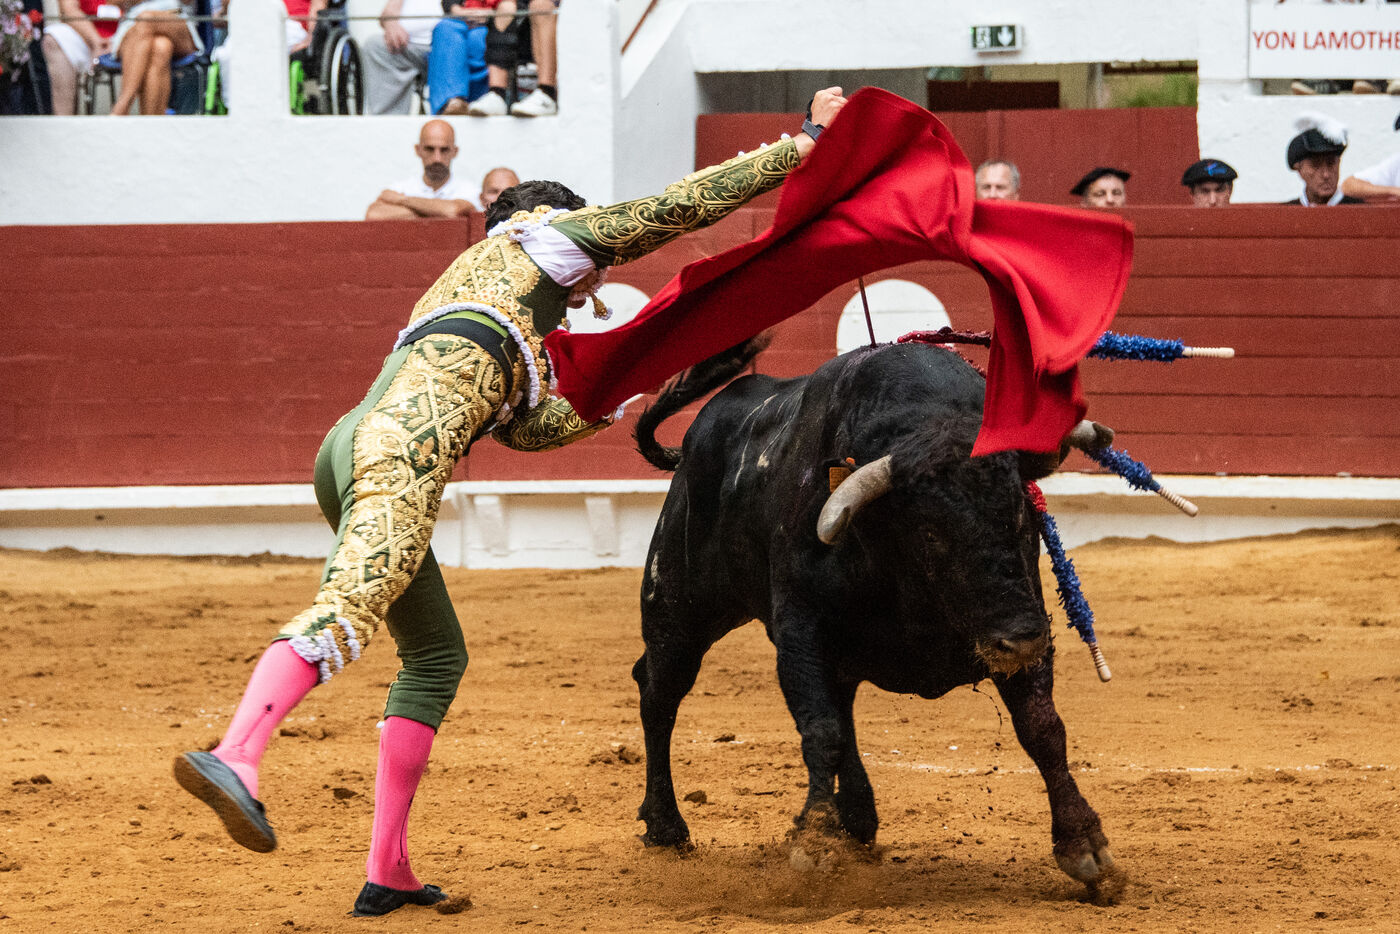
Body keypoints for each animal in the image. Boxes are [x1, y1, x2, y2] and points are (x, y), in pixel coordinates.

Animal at [630, 336, 1122, 899]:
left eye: (1022, 518)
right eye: (931, 532)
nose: (1021, 642)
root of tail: (693, 442)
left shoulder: (1024, 618)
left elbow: (1042, 728)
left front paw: (1086, 847)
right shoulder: (801, 633)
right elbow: (820, 731)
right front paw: (814, 845)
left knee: (839, 705)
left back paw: (858, 821)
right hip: (676, 606)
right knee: (659, 692)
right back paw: (667, 826)